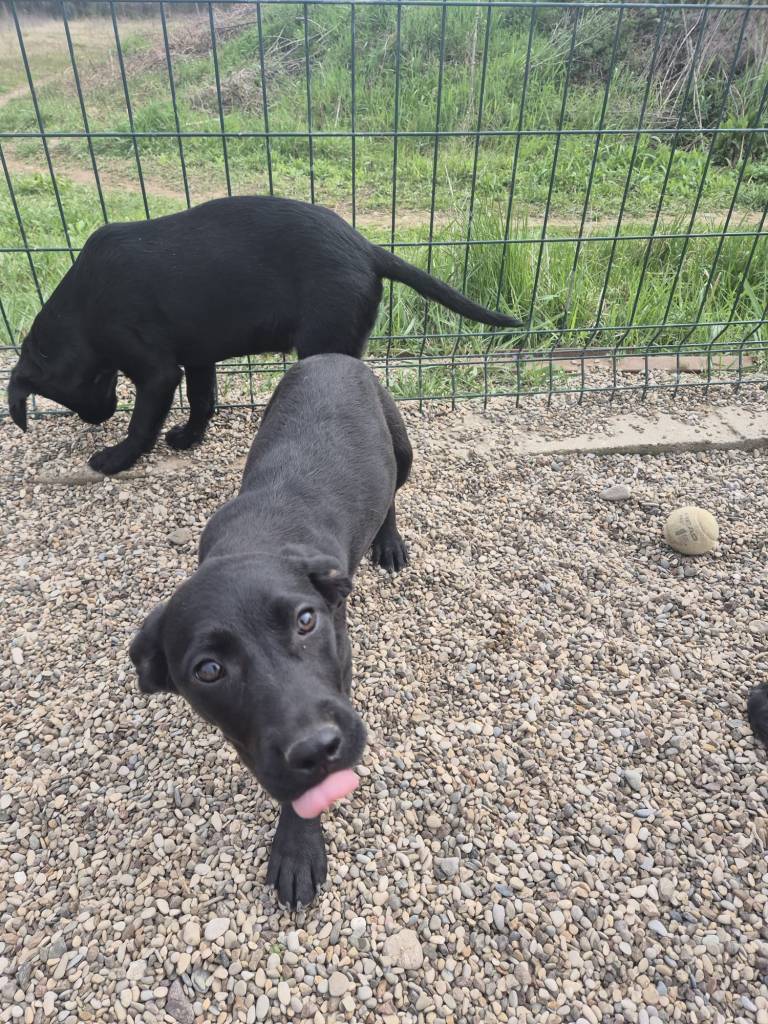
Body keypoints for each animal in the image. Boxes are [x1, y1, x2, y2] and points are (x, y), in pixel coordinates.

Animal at [7, 194, 521, 475]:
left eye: (76, 386)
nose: (98, 418)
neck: (83, 307)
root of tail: (366, 248)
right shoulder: (198, 357)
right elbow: (203, 401)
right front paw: (189, 437)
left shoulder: (157, 373)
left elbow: (142, 424)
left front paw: (117, 458)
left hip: (323, 343)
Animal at [129, 354, 412, 906]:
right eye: (208, 670)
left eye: (306, 621)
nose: (317, 749)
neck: (255, 538)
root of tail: (333, 356)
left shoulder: (341, 663)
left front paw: (297, 847)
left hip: (402, 448)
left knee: (392, 492)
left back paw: (388, 540)